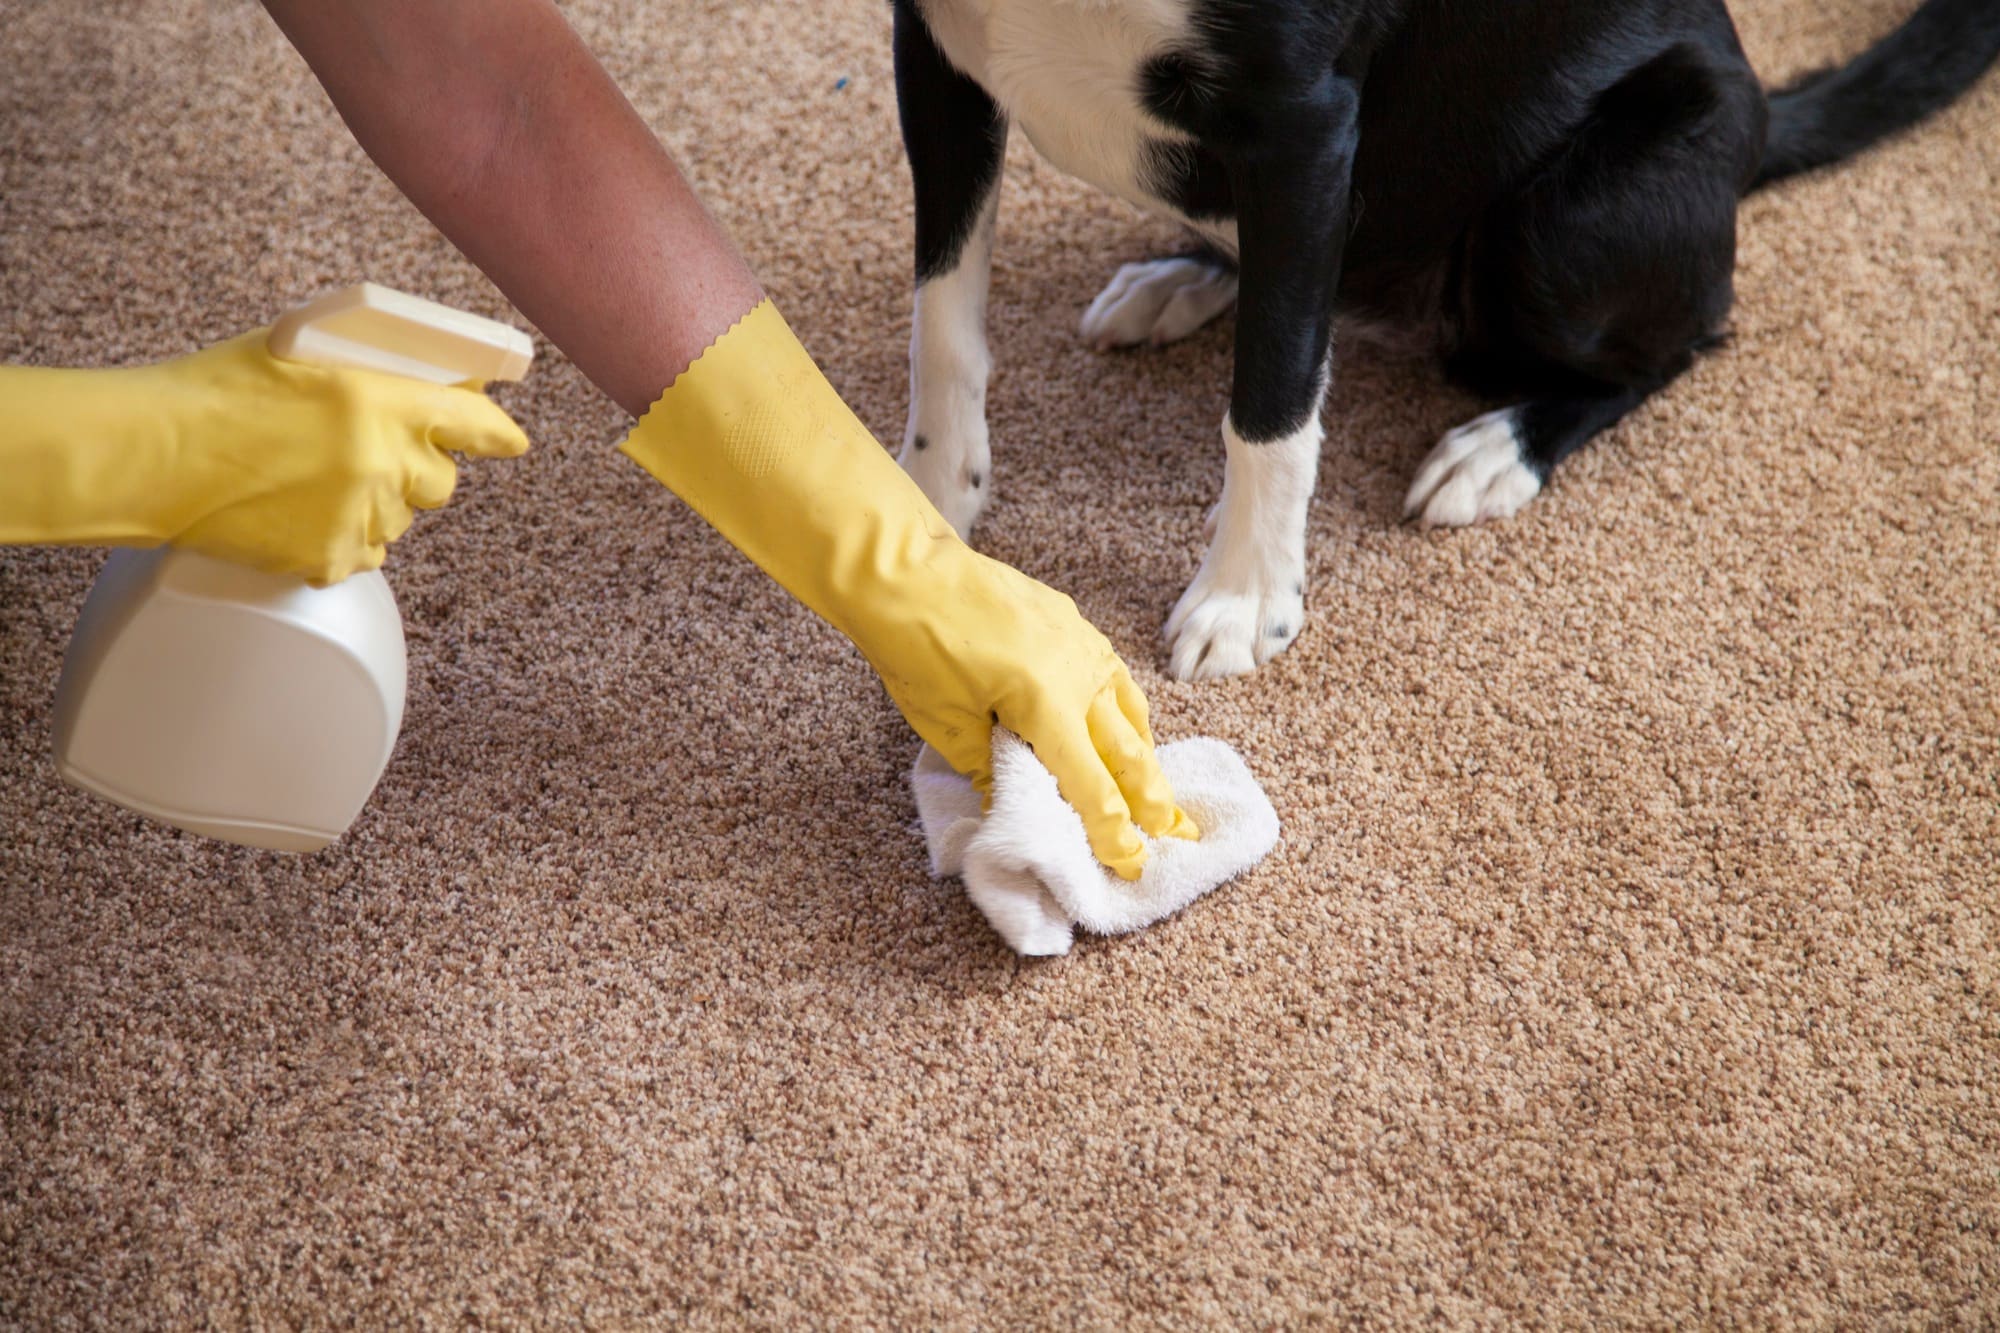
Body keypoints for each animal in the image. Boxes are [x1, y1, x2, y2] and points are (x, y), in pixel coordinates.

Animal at [888, 0, 2000, 680]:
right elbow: (942, 316)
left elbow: (1271, 401)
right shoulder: (931, 55)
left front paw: (1246, 596)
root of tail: (1763, 118)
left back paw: (1497, 449)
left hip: (1563, 224)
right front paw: (926, 504)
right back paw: (1179, 279)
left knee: (1668, 349)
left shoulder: (1300, 126)